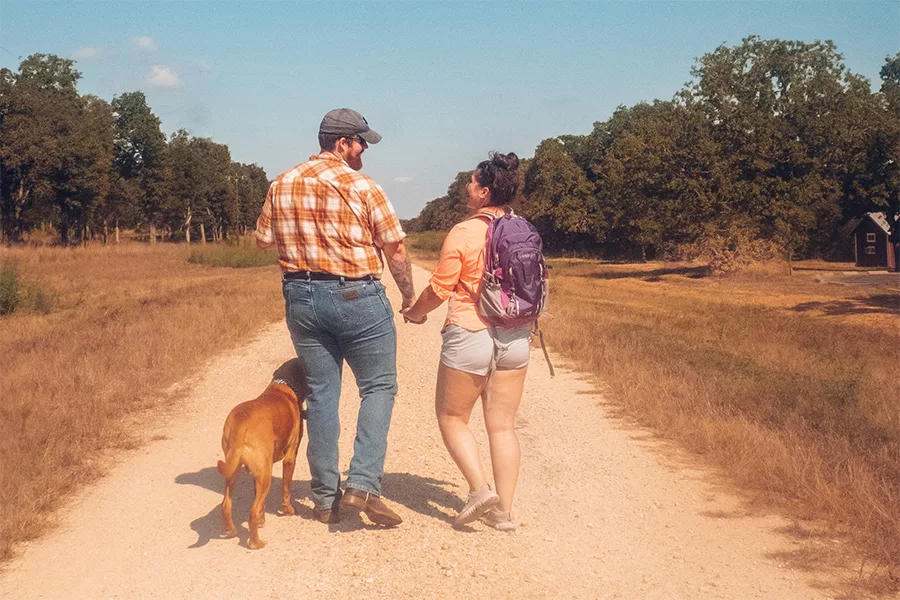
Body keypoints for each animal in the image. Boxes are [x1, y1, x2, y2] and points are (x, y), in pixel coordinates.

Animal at [217, 358, 310, 552]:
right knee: (251, 512)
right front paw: (289, 510)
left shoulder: (256, 471)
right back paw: (256, 543)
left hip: (236, 471)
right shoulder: (290, 458)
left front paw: (262, 519)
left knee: (226, 504)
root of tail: (240, 422)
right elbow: (286, 489)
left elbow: (261, 503)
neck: (284, 386)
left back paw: (231, 531)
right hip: (265, 474)